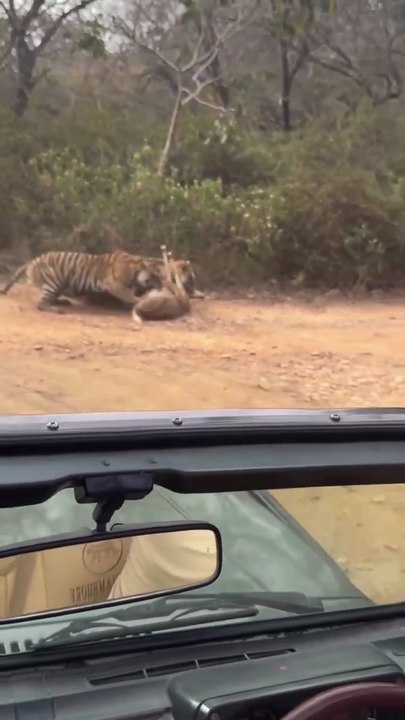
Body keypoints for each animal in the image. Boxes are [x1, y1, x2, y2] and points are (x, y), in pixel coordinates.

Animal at [0, 250, 204, 313]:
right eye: (192, 277)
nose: (160, 286)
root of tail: (32, 260)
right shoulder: (114, 284)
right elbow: (128, 294)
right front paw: (139, 300)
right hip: (55, 280)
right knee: (41, 303)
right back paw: (56, 308)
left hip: (59, 284)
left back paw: (62, 302)